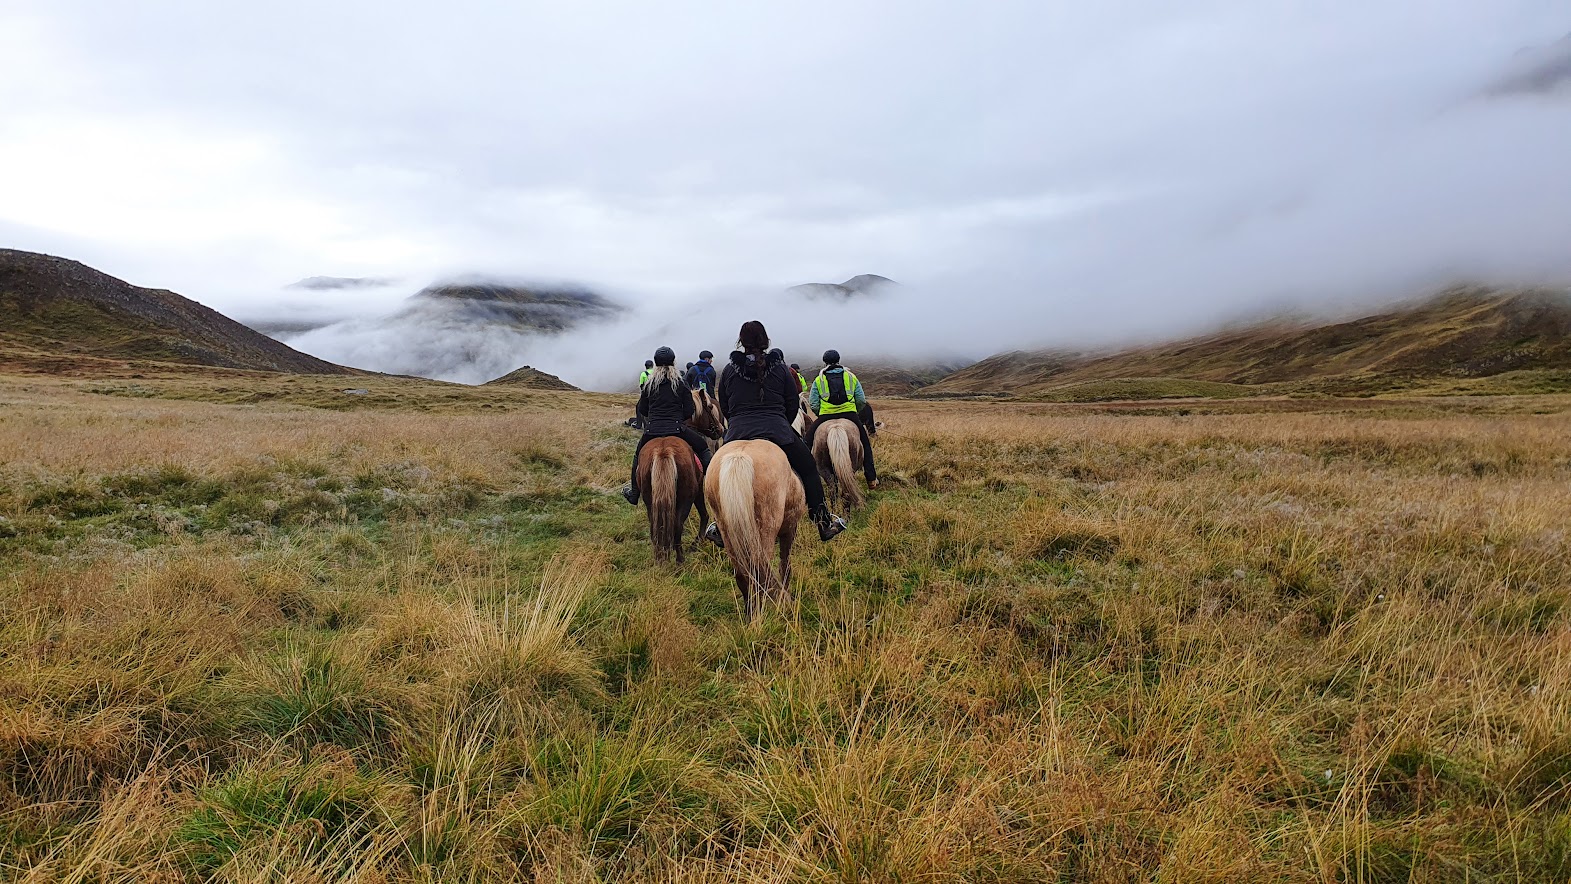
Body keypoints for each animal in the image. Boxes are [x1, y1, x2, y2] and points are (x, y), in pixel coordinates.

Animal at [703, 441, 805, 621]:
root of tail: (739, 457)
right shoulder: (790, 529)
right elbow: (785, 565)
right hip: (765, 531)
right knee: (759, 574)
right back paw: (760, 616)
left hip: (729, 534)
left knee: (743, 575)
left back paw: (750, 615)